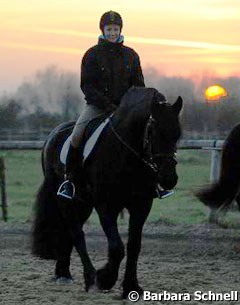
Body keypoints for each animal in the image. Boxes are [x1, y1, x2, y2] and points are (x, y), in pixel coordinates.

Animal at [31, 86, 182, 298]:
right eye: (153, 132)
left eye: (177, 134)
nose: (169, 179)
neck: (126, 154)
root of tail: (52, 136)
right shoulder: (106, 206)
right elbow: (117, 247)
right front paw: (105, 278)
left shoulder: (141, 205)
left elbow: (134, 246)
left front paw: (131, 287)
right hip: (65, 200)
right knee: (76, 233)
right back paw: (88, 278)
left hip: (83, 203)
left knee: (71, 233)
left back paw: (64, 273)